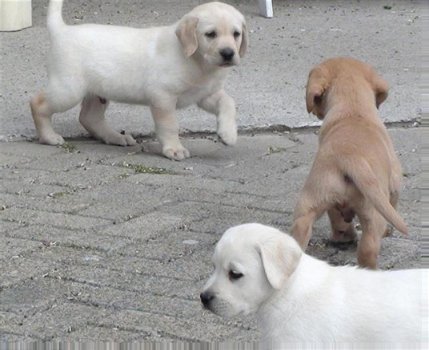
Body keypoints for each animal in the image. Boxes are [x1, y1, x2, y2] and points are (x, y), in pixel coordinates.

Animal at [30, 0, 247, 160]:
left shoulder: (205, 93)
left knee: (88, 117)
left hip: (97, 91)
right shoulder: (163, 97)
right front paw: (174, 149)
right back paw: (49, 136)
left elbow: (228, 102)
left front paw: (228, 134)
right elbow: (169, 125)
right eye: (210, 34)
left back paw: (116, 137)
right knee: (38, 104)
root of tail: (62, 30)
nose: (228, 53)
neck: (198, 62)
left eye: (236, 34)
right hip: (68, 89)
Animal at [292, 58, 406, 270]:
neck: (353, 108)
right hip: (373, 211)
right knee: (368, 247)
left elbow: (337, 218)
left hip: (310, 202)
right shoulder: (394, 181)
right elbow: (393, 203)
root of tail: (349, 157)